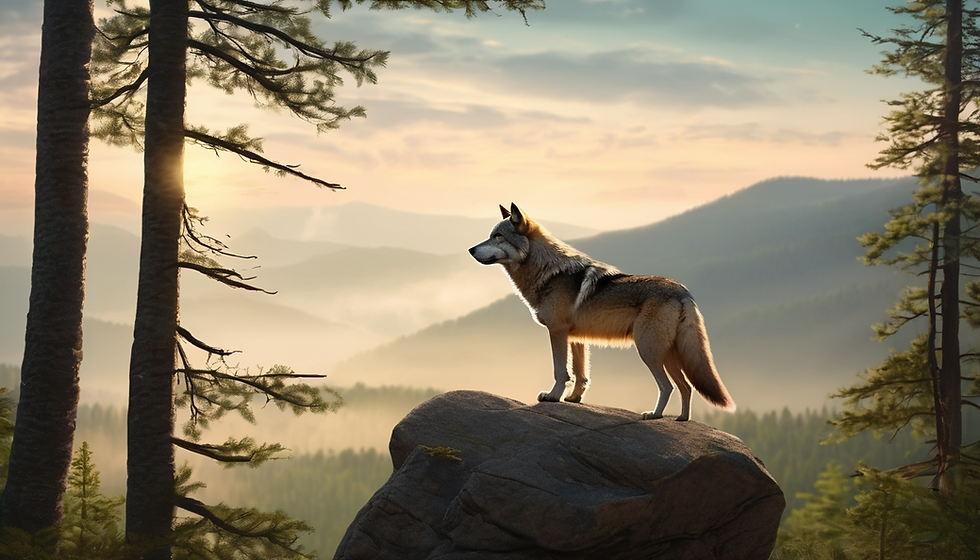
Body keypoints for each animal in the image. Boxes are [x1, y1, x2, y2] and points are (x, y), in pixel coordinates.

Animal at [468, 203, 735, 421]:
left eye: (498, 236)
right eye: (490, 236)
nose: (470, 249)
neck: (547, 272)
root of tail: (683, 292)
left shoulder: (557, 332)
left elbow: (560, 371)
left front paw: (553, 396)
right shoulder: (576, 338)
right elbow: (580, 374)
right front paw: (573, 399)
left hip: (648, 351)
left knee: (667, 386)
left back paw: (654, 415)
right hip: (668, 354)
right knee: (686, 387)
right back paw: (681, 419)